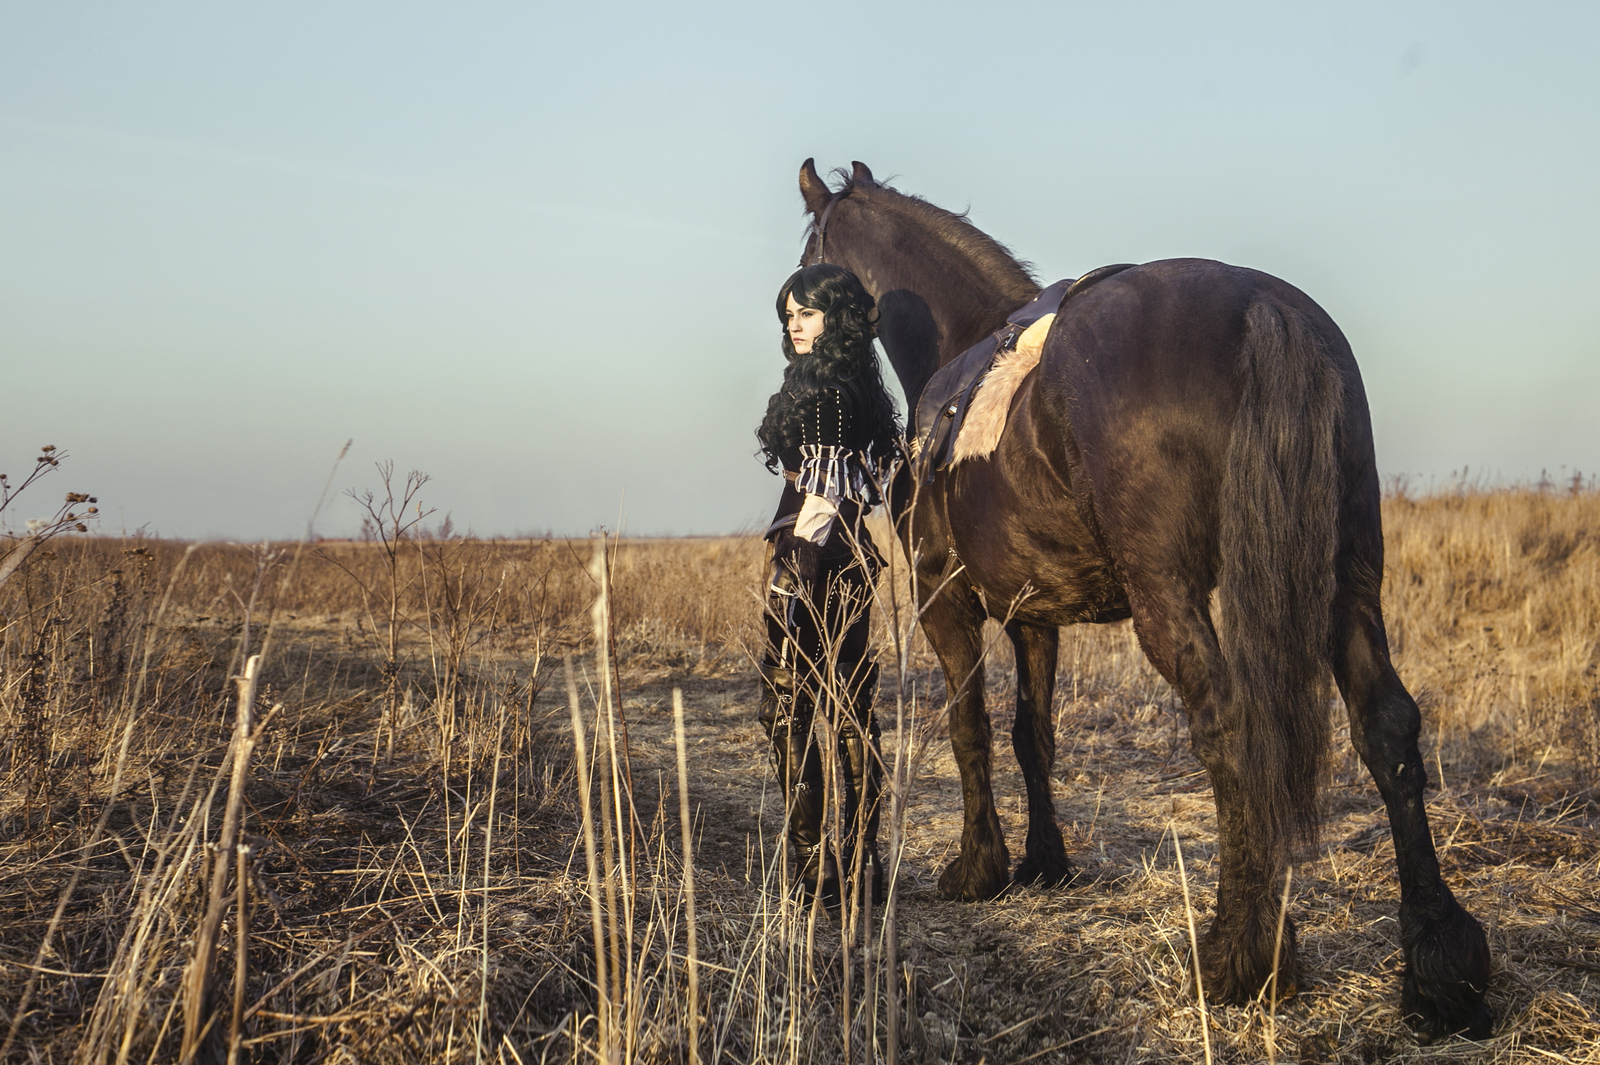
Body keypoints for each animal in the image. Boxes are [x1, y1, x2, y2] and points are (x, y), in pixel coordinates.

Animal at [806, 159, 1491, 1036]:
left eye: (808, 254)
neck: (960, 354)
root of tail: (1259, 303)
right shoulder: (1034, 613)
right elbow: (1033, 734)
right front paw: (1045, 862)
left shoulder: (944, 599)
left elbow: (969, 726)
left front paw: (979, 866)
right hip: (1349, 583)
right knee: (1389, 726)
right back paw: (1440, 964)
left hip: (1169, 597)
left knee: (1231, 729)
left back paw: (1241, 955)